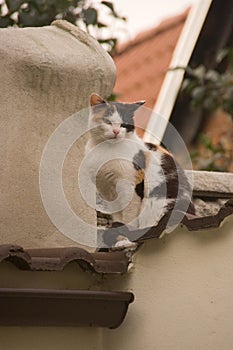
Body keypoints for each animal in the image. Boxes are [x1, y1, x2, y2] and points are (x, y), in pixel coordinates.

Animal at [85, 92, 195, 246]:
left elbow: (129, 219)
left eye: (124, 124)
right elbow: (118, 216)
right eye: (107, 121)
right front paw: (119, 239)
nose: (116, 131)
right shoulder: (108, 192)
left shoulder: (130, 187)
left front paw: (124, 239)